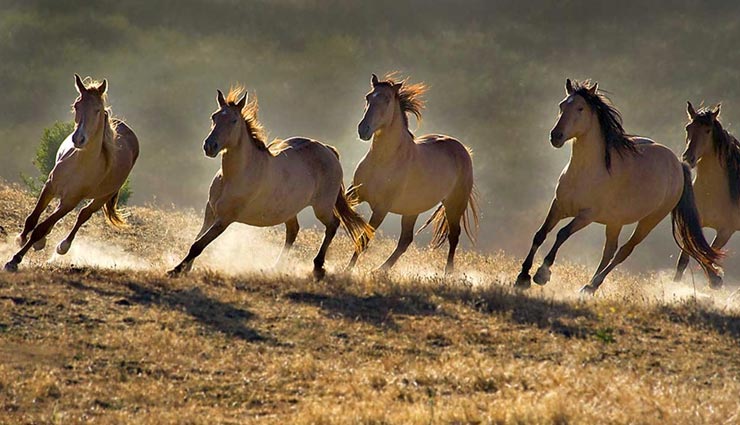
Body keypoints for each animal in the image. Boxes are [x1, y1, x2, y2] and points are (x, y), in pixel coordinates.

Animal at [3, 74, 139, 270]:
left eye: (98, 110)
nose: (78, 139)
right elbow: (32, 219)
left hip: (102, 197)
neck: (79, 164)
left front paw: (14, 260)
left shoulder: (71, 201)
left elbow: (41, 228)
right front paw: (20, 239)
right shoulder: (50, 186)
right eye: (77, 105)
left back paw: (62, 246)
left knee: (84, 215)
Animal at [166, 86, 370, 278]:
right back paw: (275, 267)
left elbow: (199, 245)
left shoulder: (225, 218)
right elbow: (197, 240)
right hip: (289, 209)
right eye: (214, 117)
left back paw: (317, 267)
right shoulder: (210, 211)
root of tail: (329, 151)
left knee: (333, 225)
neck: (235, 176)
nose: (210, 146)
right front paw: (185, 269)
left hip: (322, 207)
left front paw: (176, 270)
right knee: (293, 230)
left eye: (233, 120)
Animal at [346, 73, 480, 274]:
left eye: (387, 99)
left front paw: (346, 269)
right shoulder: (355, 193)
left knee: (453, 235)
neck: (383, 160)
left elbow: (364, 238)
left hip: (454, 204)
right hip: (412, 209)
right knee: (406, 240)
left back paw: (447, 273)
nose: (363, 129)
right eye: (368, 97)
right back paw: (380, 270)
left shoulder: (381, 208)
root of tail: (463, 149)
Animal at [516, 78, 724, 294]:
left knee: (623, 251)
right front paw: (522, 277)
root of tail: (678, 164)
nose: (556, 136)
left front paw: (542, 274)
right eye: (562, 105)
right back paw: (589, 287)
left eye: (580, 108)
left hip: (649, 220)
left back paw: (592, 285)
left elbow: (561, 234)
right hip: (615, 221)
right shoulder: (558, 205)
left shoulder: (586, 215)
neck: (585, 172)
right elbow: (540, 234)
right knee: (609, 251)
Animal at [676, 101, 740, 284]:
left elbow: (707, 256)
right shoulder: (694, 224)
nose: (688, 157)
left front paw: (716, 280)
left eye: (708, 130)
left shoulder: (725, 232)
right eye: (688, 128)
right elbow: (683, 261)